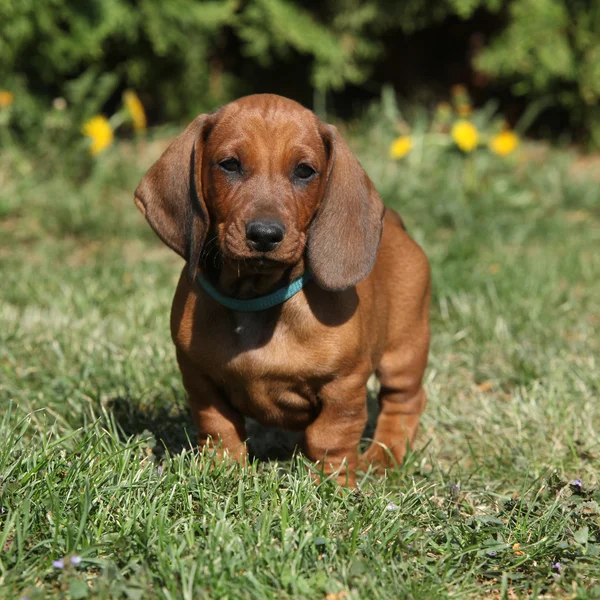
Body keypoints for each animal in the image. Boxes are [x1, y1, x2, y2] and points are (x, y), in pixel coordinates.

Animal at [134, 95, 428, 488]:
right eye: (229, 164)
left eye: (304, 171)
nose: (264, 235)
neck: (255, 297)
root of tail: (395, 223)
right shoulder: (199, 379)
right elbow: (219, 429)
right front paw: (223, 474)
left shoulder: (344, 385)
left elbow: (331, 437)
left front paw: (334, 486)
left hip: (405, 348)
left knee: (405, 402)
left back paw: (382, 457)